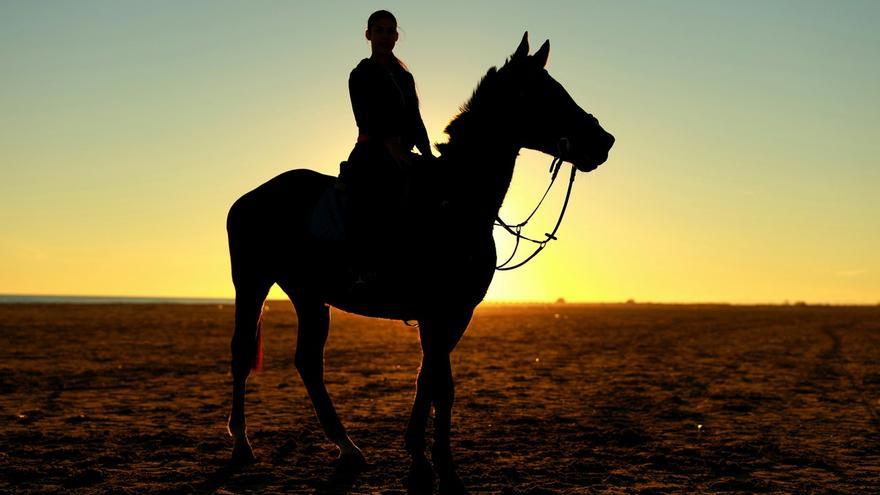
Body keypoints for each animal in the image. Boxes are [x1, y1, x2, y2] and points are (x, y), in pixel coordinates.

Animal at [223, 34, 616, 492]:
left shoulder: (457, 313)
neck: (454, 201)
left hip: (309, 295)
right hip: (251, 281)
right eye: (545, 93)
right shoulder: (435, 311)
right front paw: (441, 467)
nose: (604, 141)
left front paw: (423, 459)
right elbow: (440, 383)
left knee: (308, 362)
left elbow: (431, 379)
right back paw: (242, 444)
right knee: (242, 352)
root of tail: (250, 197)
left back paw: (348, 449)